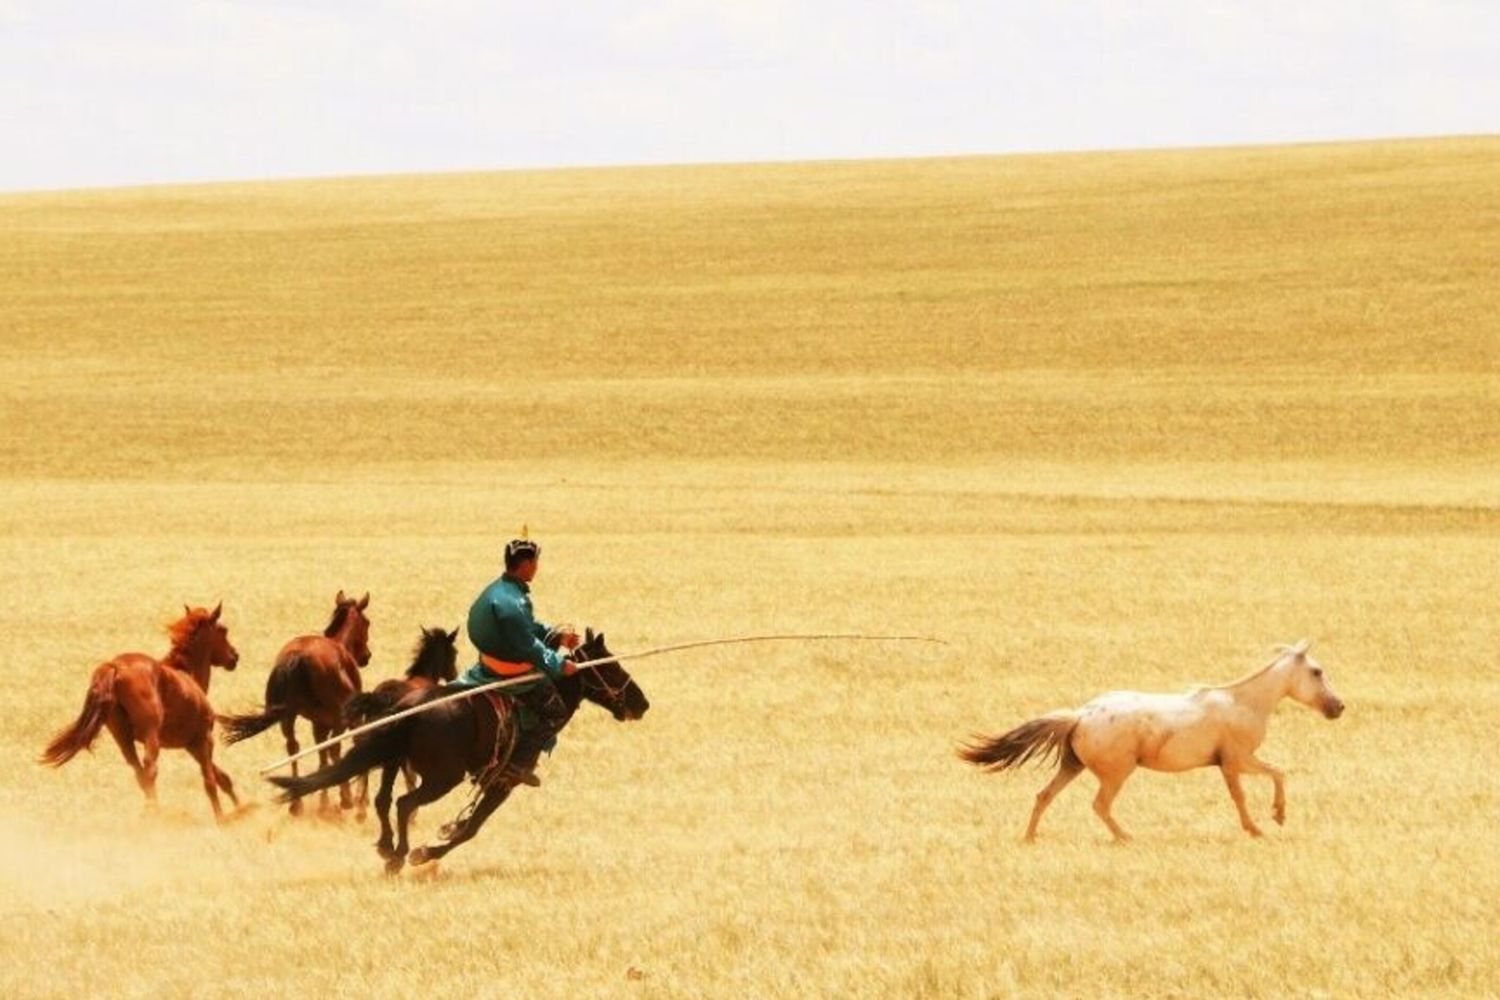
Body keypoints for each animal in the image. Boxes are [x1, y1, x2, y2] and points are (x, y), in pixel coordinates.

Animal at [40, 604, 243, 821]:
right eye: (223, 630)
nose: (234, 657)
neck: (187, 675)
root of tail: (115, 667)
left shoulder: (191, 745)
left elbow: (222, 777)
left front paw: (241, 809)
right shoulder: (204, 739)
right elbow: (210, 781)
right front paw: (222, 818)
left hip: (123, 737)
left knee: (138, 772)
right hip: (150, 734)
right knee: (150, 769)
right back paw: (155, 813)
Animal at [219, 590, 372, 817]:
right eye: (367, 622)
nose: (366, 656)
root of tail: (298, 656)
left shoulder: (319, 724)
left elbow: (321, 755)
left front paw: (323, 802)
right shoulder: (345, 720)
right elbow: (339, 749)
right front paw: (354, 800)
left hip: (288, 717)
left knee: (293, 747)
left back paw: (297, 803)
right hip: (338, 718)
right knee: (332, 749)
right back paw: (344, 800)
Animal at [269, 629, 649, 873]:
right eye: (612, 666)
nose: (642, 703)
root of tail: (409, 707)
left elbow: (466, 822)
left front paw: (443, 832)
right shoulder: (505, 780)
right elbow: (473, 827)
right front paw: (427, 852)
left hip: (392, 757)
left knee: (382, 800)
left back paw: (386, 846)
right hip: (442, 778)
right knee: (404, 803)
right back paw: (400, 854)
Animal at [960, 640, 1345, 841]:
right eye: (1317, 671)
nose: (1338, 707)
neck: (1244, 702)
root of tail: (1081, 715)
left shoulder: (1230, 764)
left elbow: (1256, 785)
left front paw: (1265, 822)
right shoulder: (1237, 760)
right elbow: (1268, 779)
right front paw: (1270, 821)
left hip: (1073, 766)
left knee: (1044, 796)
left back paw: (1030, 838)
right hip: (1116, 773)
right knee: (1099, 805)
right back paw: (1125, 837)